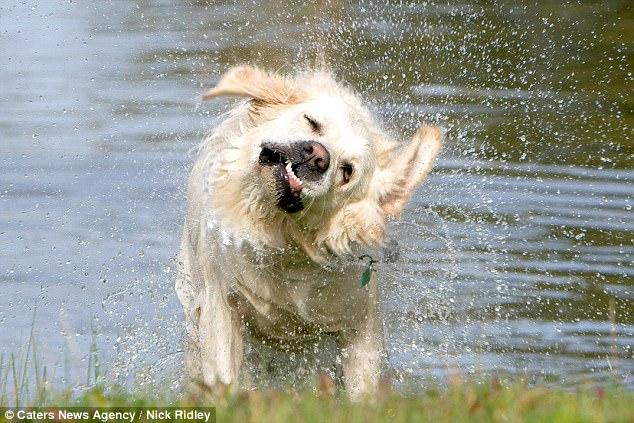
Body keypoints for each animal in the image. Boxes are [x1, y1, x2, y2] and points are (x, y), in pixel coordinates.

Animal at [173, 64, 440, 400]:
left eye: (347, 171)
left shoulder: (361, 321)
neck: (283, 240)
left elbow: (362, 387)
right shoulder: (219, 301)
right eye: (312, 122)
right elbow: (223, 375)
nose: (316, 156)